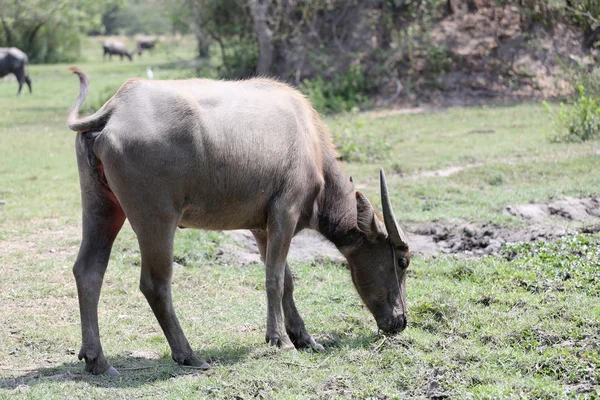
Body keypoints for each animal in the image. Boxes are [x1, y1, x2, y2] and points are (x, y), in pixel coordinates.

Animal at [67, 66, 412, 376]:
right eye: (402, 261)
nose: (400, 321)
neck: (308, 140)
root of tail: (115, 108)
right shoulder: (285, 213)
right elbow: (274, 279)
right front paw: (281, 340)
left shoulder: (262, 227)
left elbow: (286, 280)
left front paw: (304, 337)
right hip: (156, 218)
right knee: (154, 283)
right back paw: (188, 355)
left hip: (103, 207)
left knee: (88, 270)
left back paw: (97, 360)